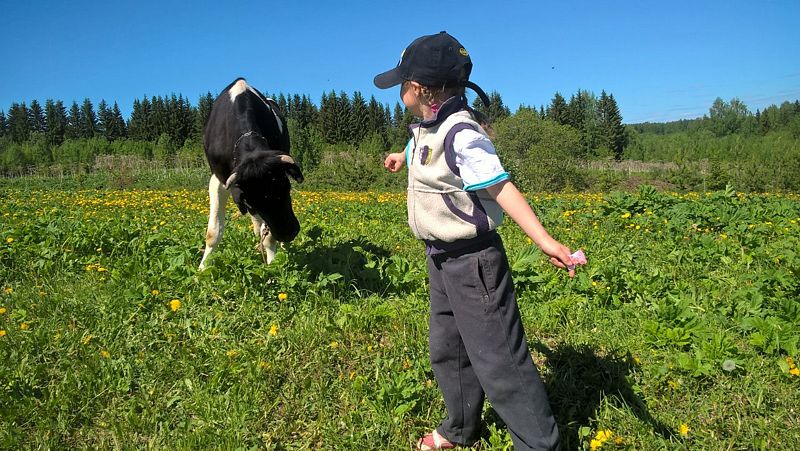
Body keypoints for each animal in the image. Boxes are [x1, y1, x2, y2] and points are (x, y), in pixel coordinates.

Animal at [198, 78, 303, 270]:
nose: (288, 233)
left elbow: (269, 236)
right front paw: (202, 269)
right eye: (250, 200)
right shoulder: (218, 180)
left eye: (287, 187)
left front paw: (273, 264)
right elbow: (213, 232)